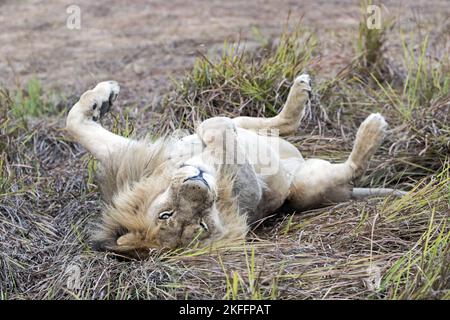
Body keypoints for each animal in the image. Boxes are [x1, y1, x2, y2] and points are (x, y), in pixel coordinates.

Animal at [66, 74, 404, 256]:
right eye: (199, 226)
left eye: (165, 213)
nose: (198, 185)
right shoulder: (254, 195)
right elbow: (225, 139)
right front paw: (215, 133)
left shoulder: (130, 154)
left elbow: (75, 123)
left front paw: (103, 97)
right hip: (308, 184)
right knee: (349, 171)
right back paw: (373, 129)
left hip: (259, 129)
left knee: (275, 124)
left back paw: (299, 92)